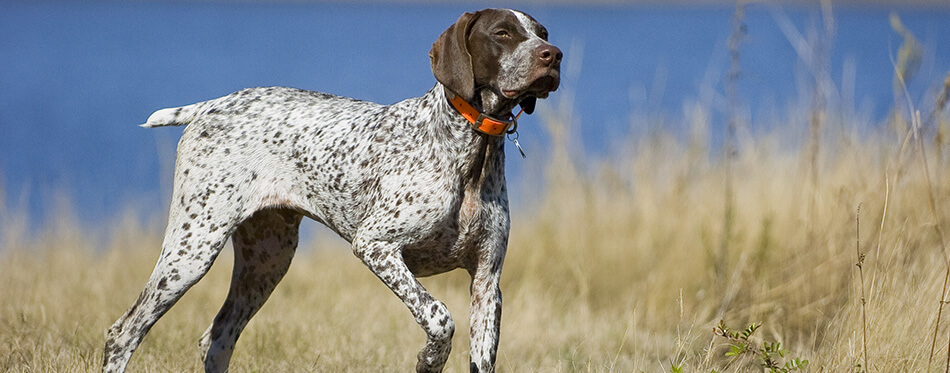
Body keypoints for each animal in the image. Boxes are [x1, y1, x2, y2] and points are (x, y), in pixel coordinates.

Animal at [104, 8, 560, 372]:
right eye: (502, 33)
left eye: (542, 32)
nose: (552, 56)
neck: (470, 150)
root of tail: (212, 104)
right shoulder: (375, 245)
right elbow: (439, 316)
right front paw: (430, 358)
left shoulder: (486, 283)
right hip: (193, 249)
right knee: (122, 332)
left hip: (266, 261)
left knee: (216, 339)